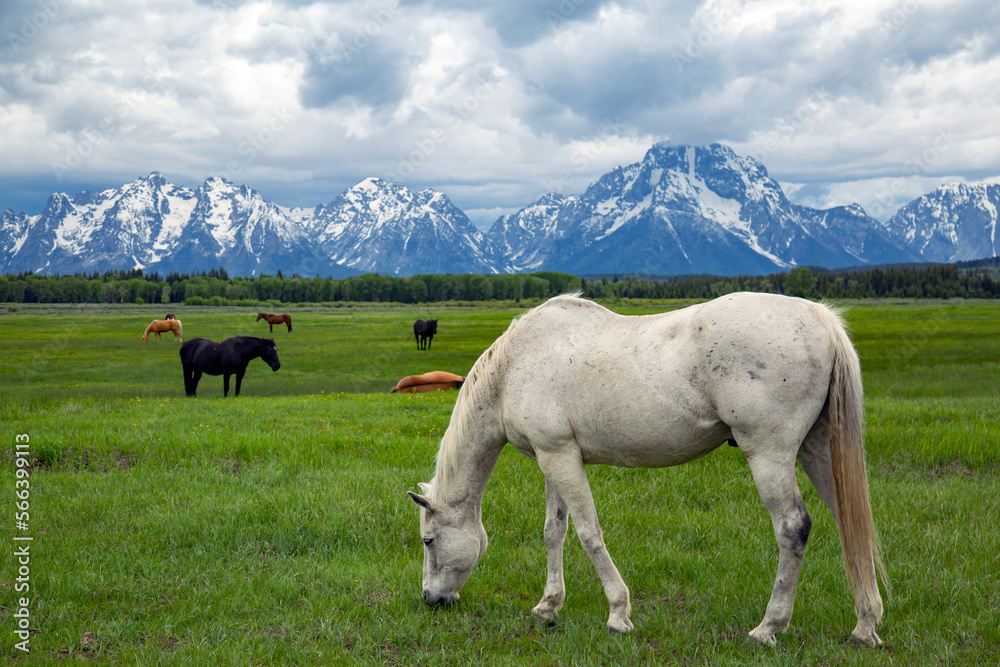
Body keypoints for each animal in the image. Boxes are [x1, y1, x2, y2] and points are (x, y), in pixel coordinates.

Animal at [410, 292, 888, 648]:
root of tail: (819, 318)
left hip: (769, 456)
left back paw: (768, 627)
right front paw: (548, 606)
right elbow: (554, 532)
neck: (514, 367)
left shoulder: (561, 458)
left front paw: (618, 614)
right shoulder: (553, 457)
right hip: (816, 450)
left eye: (428, 540)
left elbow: (588, 532)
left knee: (793, 527)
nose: (431, 598)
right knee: (849, 520)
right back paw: (865, 626)